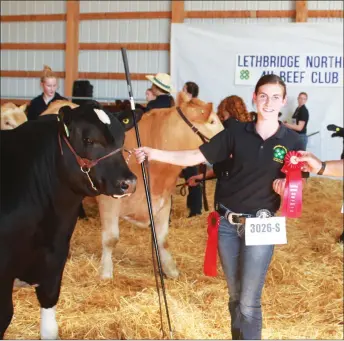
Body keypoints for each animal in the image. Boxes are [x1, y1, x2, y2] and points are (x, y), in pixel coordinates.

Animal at [96, 91, 223, 278]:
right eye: (212, 121)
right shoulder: (109, 201)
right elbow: (111, 238)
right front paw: (105, 273)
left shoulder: (163, 201)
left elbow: (162, 240)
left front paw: (171, 270)